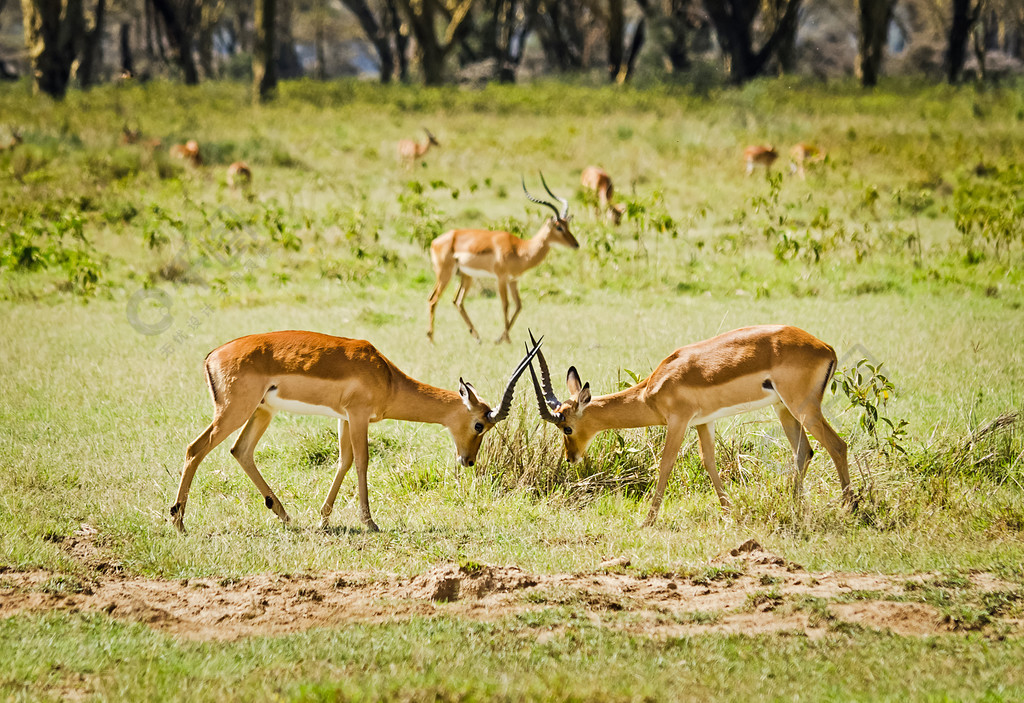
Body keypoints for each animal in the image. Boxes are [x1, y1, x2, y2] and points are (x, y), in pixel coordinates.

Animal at [171, 329, 540, 532]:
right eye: (479, 424)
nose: (469, 460)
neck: (386, 376)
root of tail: (212, 356)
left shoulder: (344, 418)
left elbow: (343, 462)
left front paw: (323, 520)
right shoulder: (359, 416)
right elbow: (362, 462)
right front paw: (369, 522)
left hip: (262, 411)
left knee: (241, 451)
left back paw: (285, 515)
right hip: (235, 411)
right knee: (195, 449)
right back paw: (178, 521)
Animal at [428, 176, 581, 345]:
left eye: (567, 225)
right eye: (559, 227)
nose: (576, 244)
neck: (520, 250)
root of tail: (435, 241)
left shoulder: (513, 280)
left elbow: (519, 305)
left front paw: (502, 337)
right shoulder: (501, 278)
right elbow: (505, 305)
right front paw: (504, 339)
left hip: (466, 276)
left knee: (457, 301)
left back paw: (477, 337)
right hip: (445, 274)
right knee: (433, 300)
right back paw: (431, 339)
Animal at [528, 327, 847, 523]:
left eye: (566, 428)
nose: (570, 457)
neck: (651, 391)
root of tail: (826, 348)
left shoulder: (678, 422)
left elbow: (666, 463)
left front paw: (647, 521)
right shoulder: (704, 422)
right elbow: (709, 461)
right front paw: (729, 512)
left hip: (803, 408)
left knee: (837, 445)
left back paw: (849, 508)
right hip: (784, 408)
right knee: (804, 452)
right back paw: (795, 508)